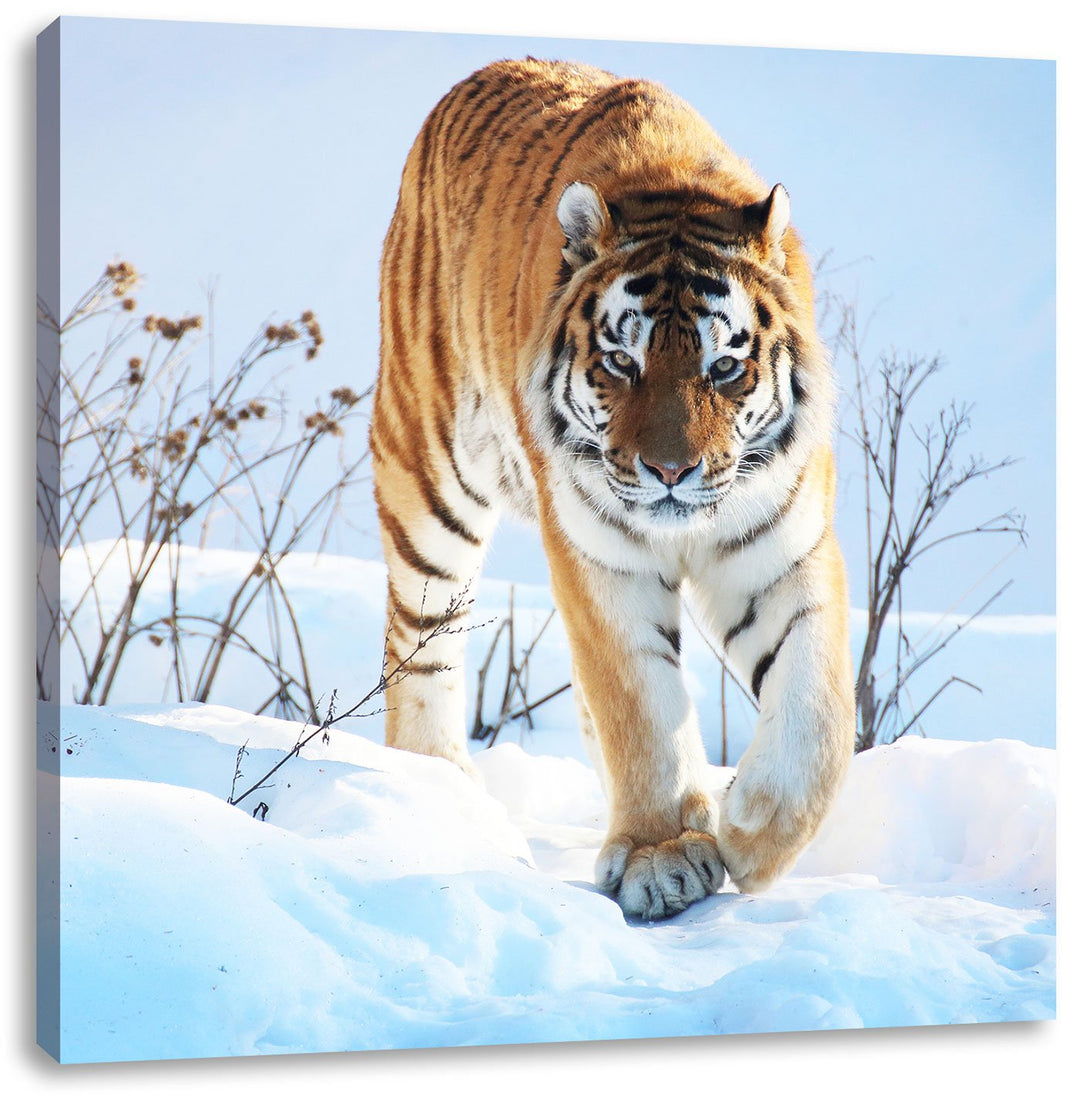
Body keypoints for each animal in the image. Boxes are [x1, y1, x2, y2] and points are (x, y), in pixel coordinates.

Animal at [370, 57, 855, 920]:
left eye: (723, 367)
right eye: (622, 363)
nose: (670, 472)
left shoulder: (781, 548)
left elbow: (819, 707)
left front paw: (754, 830)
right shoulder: (600, 556)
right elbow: (639, 703)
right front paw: (664, 855)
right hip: (427, 475)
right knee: (421, 639)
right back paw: (439, 788)